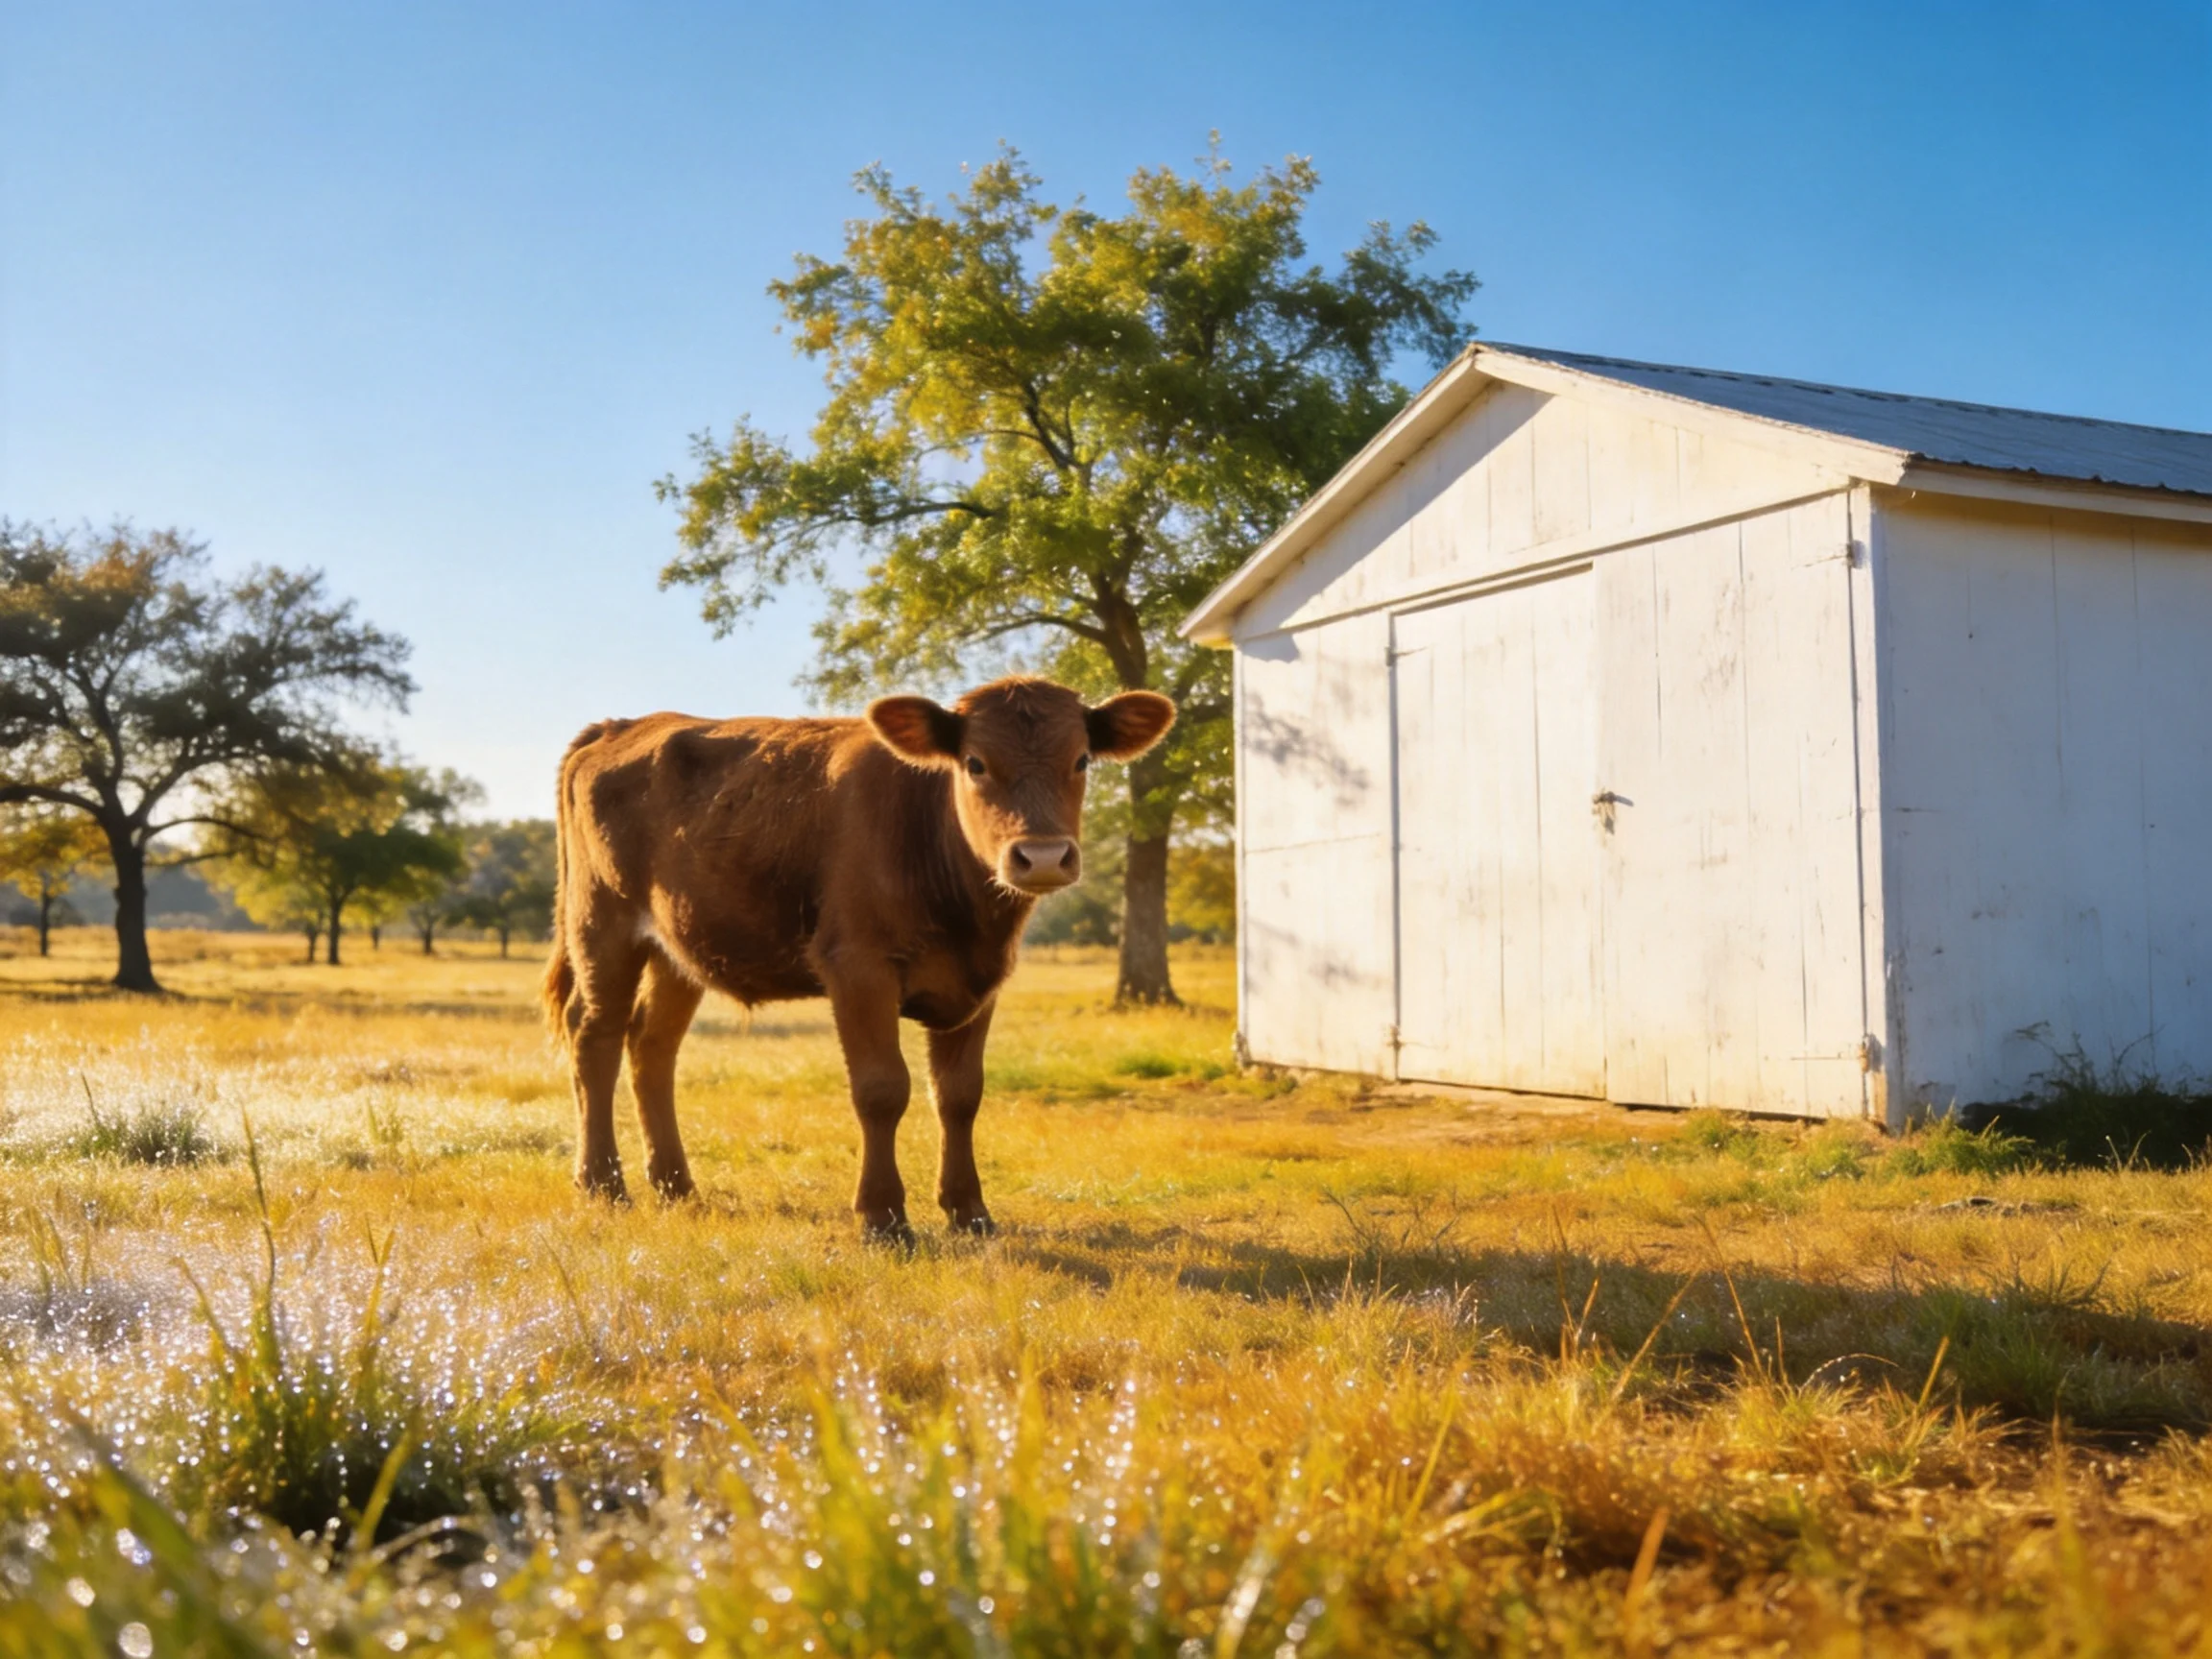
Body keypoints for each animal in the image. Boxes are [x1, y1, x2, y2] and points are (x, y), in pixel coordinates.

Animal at [541, 676, 1176, 1237]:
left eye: (1082, 760)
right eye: (975, 763)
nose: (1042, 856)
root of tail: (621, 725)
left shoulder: (981, 981)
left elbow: (960, 1094)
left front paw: (969, 1211)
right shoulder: (857, 967)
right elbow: (881, 1089)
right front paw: (883, 1217)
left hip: (677, 949)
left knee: (652, 1045)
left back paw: (676, 1185)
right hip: (603, 926)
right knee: (595, 1037)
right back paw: (603, 1183)